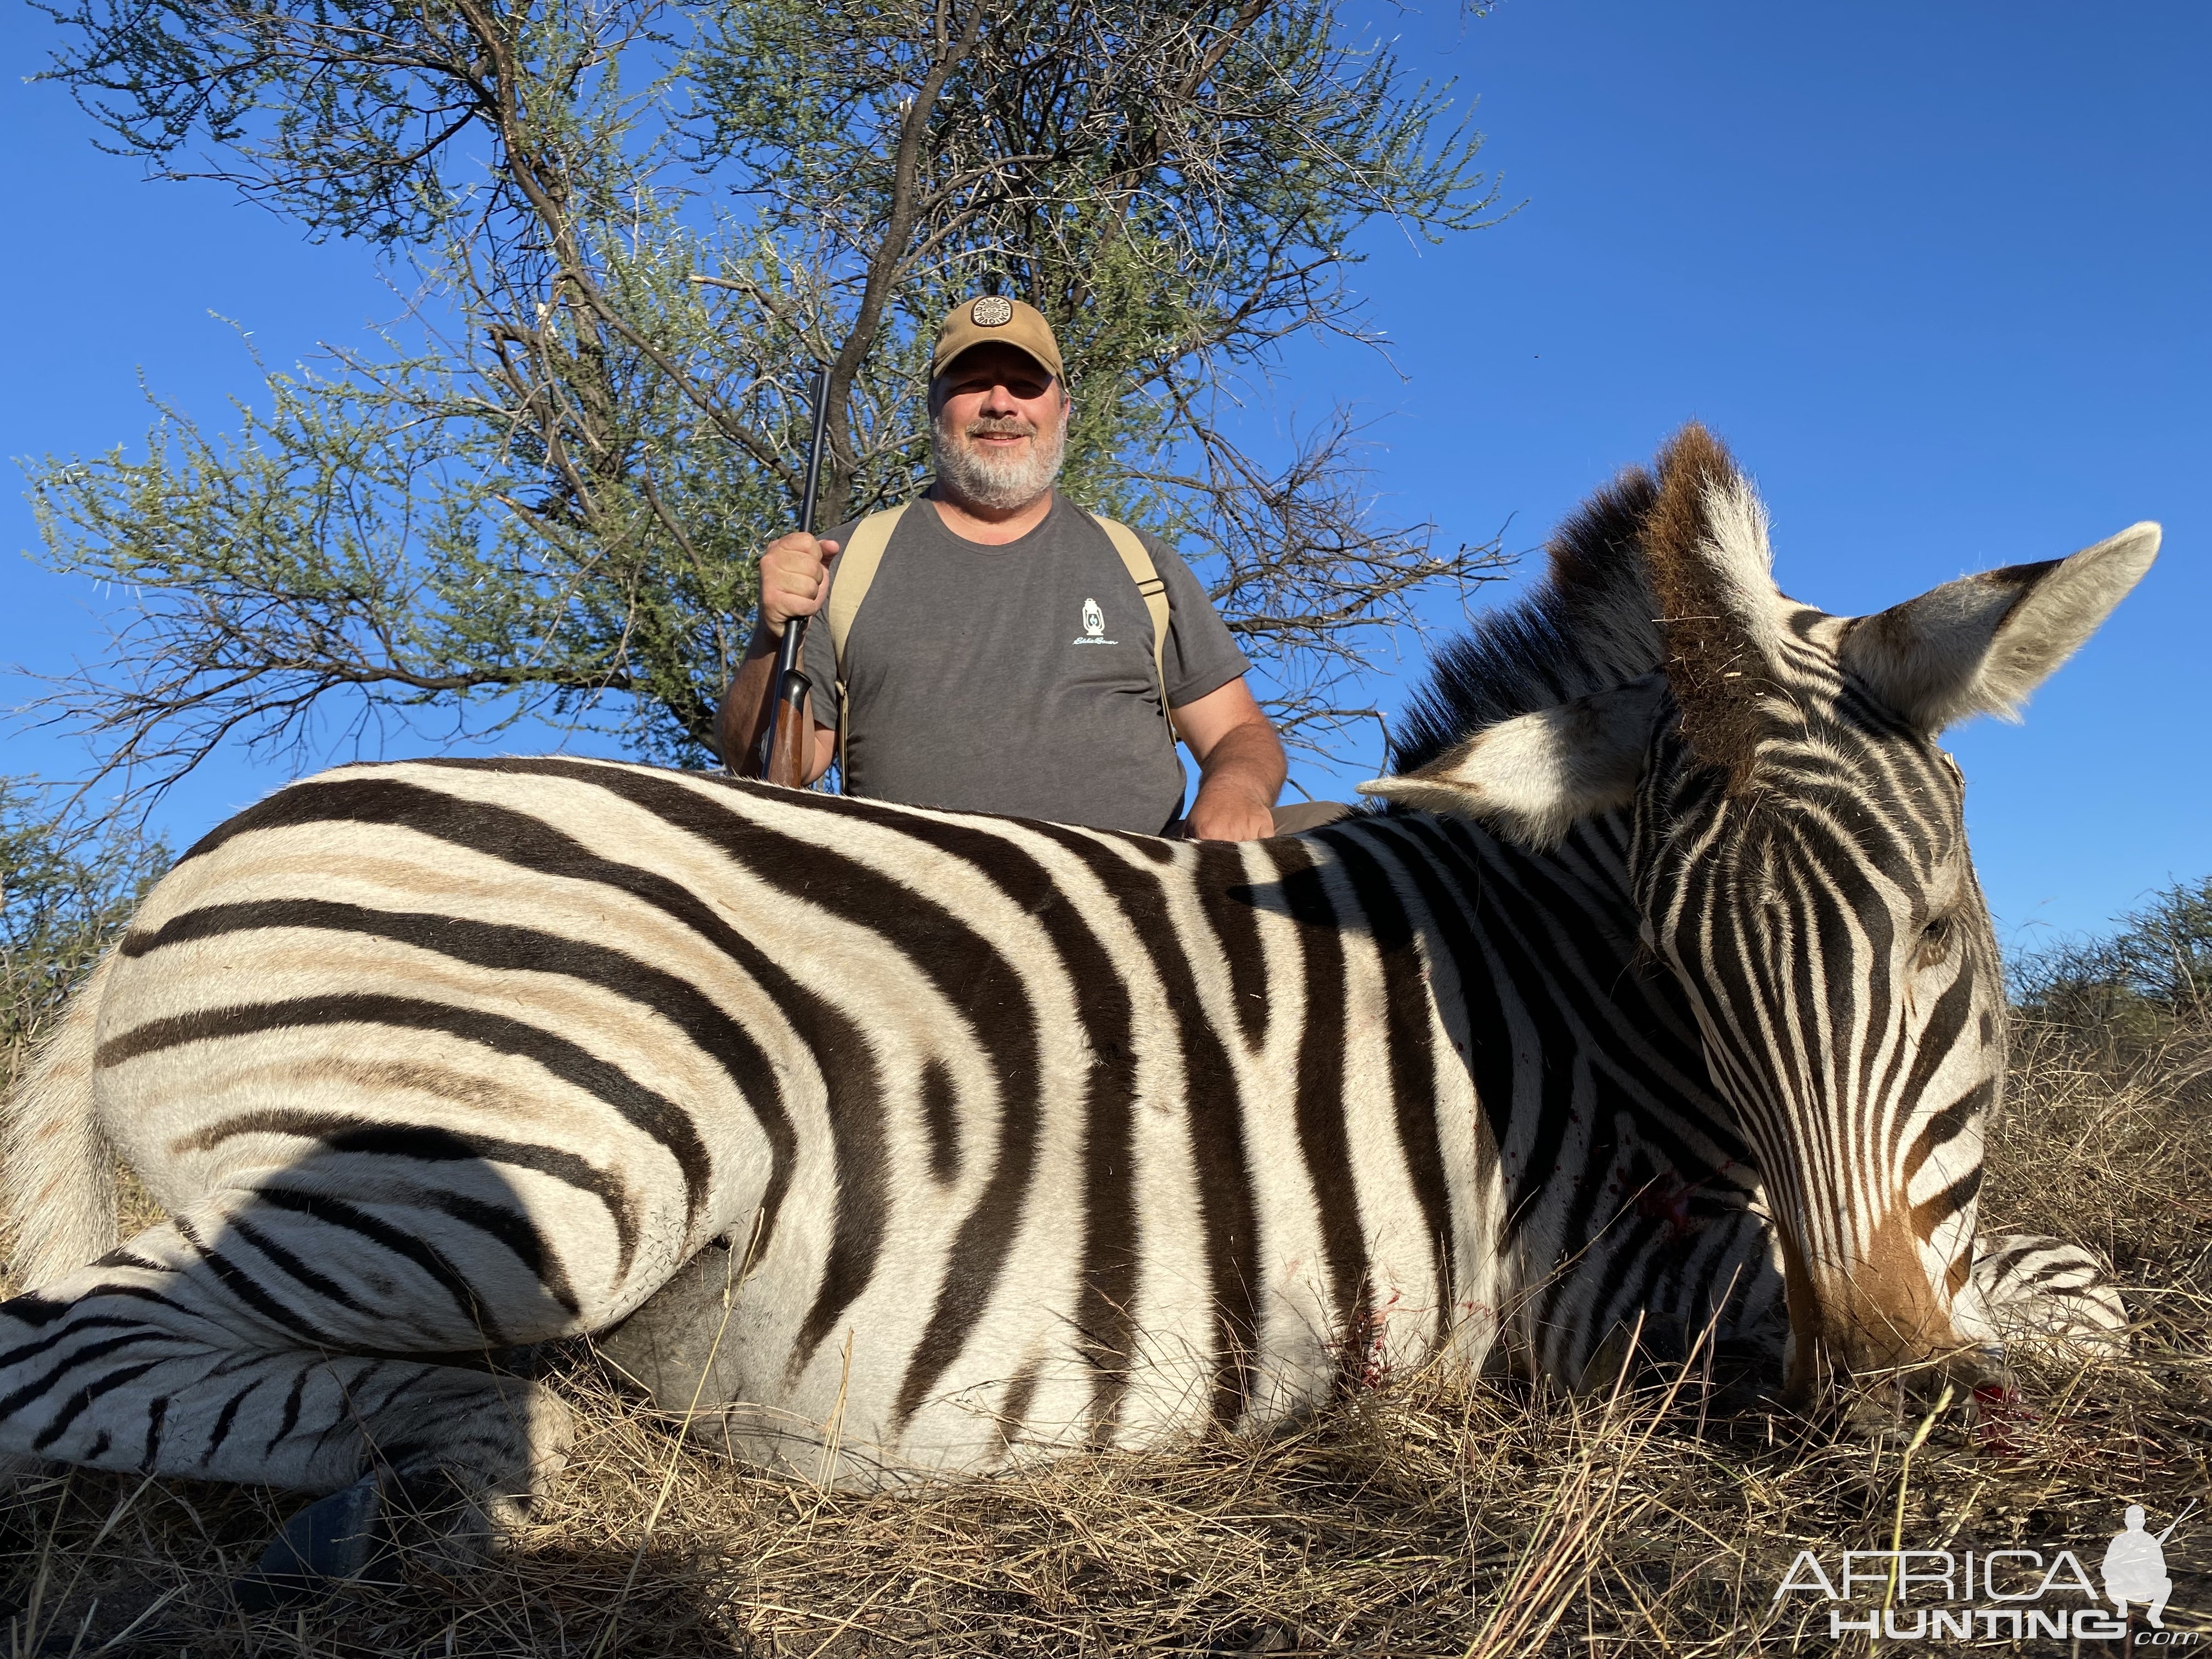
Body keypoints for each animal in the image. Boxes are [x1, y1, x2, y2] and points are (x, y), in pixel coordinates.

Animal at [0, 429, 2141, 1610]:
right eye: (1689, 975)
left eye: (1934, 938)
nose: (1887, 1396)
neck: (1561, 980)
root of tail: (151, 902)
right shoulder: (1613, 1285)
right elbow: (2082, 1287)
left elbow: (2060, 1279)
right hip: (544, 1143)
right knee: (59, 1353)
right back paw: (484, 1449)